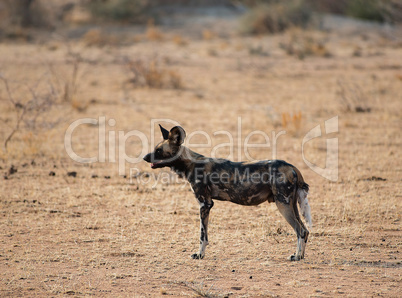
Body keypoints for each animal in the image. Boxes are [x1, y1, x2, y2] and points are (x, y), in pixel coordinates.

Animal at [143, 124, 312, 260]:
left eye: (159, 150)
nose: (144, 157)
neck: (190, 163)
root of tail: (292, 167)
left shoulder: (205, 204)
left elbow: (202, 236)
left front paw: (200, 255)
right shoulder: (206, 204)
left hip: (282, 205)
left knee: (300, 231)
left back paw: (297, 257)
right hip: (291, 205)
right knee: (305, 230)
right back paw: (300, 255)